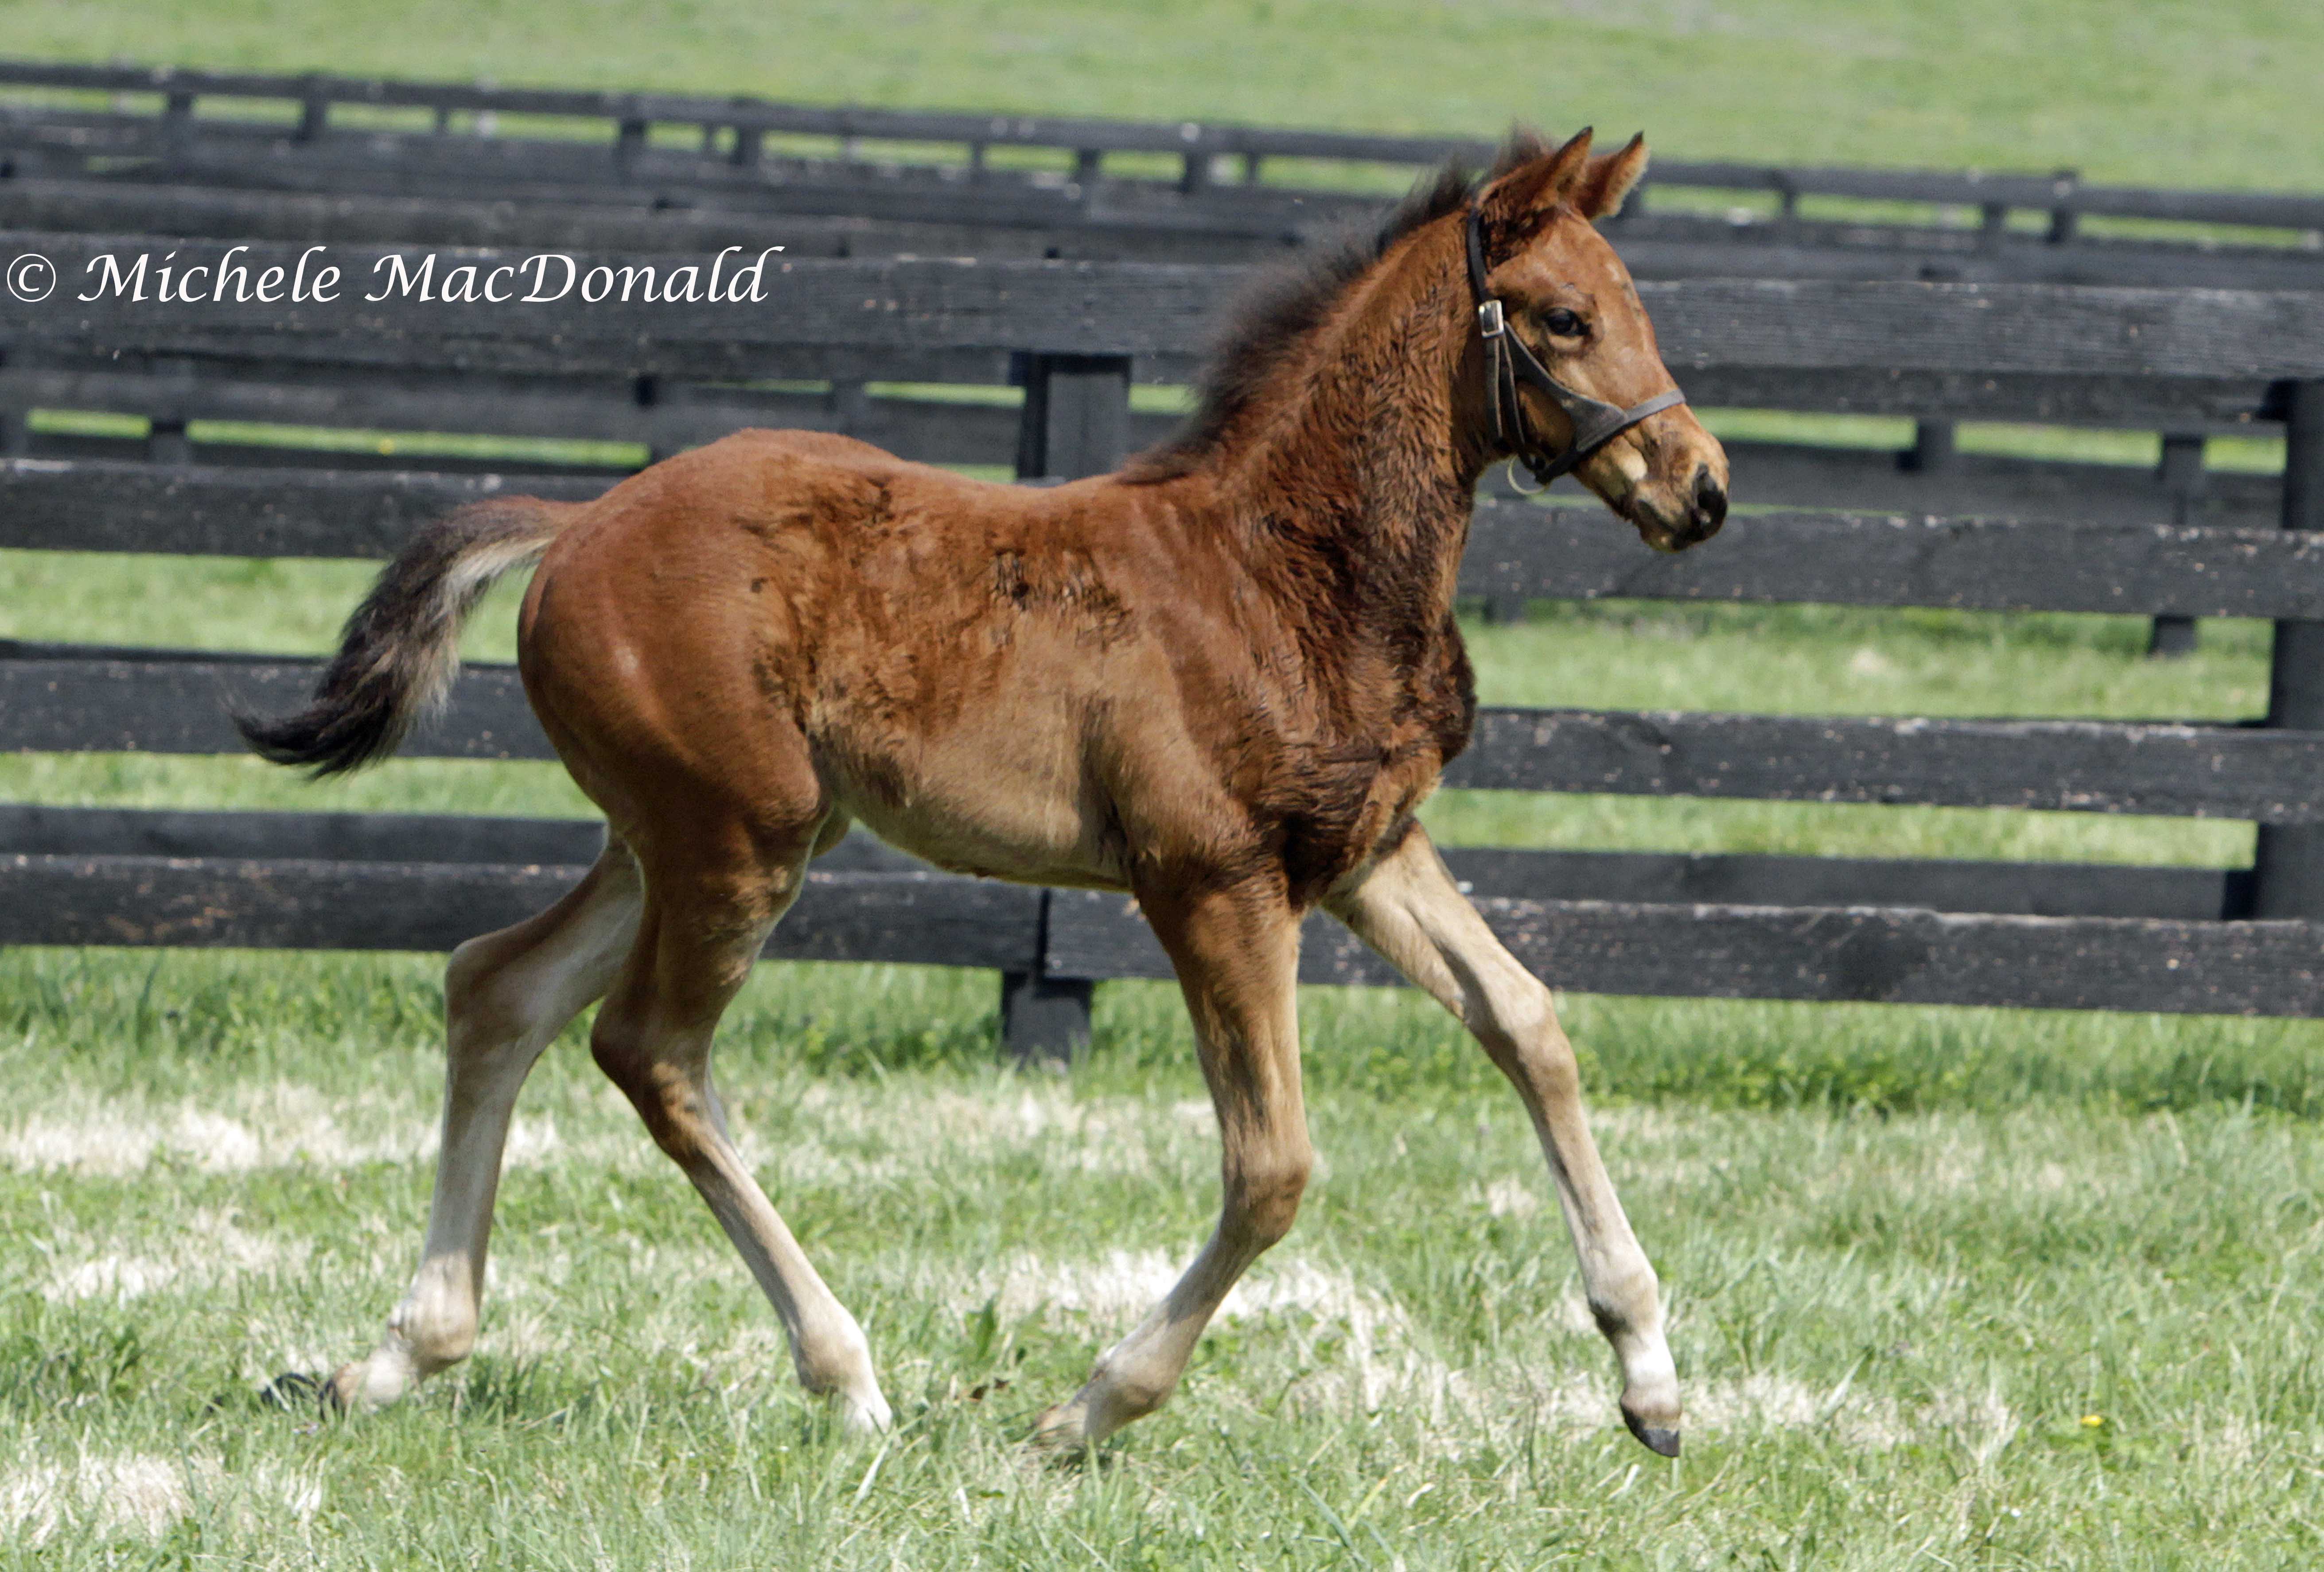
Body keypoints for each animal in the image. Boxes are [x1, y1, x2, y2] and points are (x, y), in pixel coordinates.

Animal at [245, 129, 1729, 1451]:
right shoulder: (1211, 883)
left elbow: (1529, 1024)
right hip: (735, 838)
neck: (1282, 573)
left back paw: (396, 1358)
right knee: (648, 1049)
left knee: (499, 986)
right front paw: (1085, 1412)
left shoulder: (1368, 851)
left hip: (678, 833)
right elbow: (1273, 1168)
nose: (1701, 489)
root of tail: (574, 527)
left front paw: (1649, 1381)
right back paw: (845, 1378)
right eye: (1562, 320)